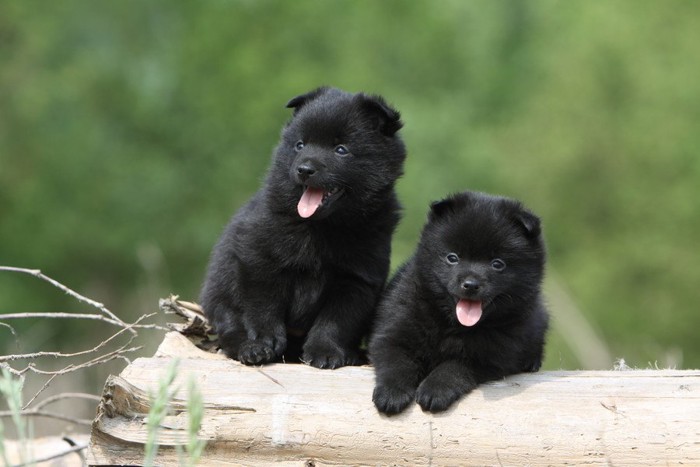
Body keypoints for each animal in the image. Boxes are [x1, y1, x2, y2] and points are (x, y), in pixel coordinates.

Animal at [200, 87, 404, 370]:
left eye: (341, 149)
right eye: (300, 145)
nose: (304, 169)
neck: (320, 226)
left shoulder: (357, 279)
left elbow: (336, 319)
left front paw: (325, 351)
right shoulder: (258, 258)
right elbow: (263, 305)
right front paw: (264, 342)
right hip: (220, 289)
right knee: (229, 326)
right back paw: (249, 348)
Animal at [370, 192, 548, 414]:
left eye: (497, 264)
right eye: (452, 257)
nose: (470, 285)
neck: (450, 323)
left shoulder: (488, 355)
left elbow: (452, 367)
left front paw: (434, 390)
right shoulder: (394, 331)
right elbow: (397, 362)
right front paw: (391, 393)